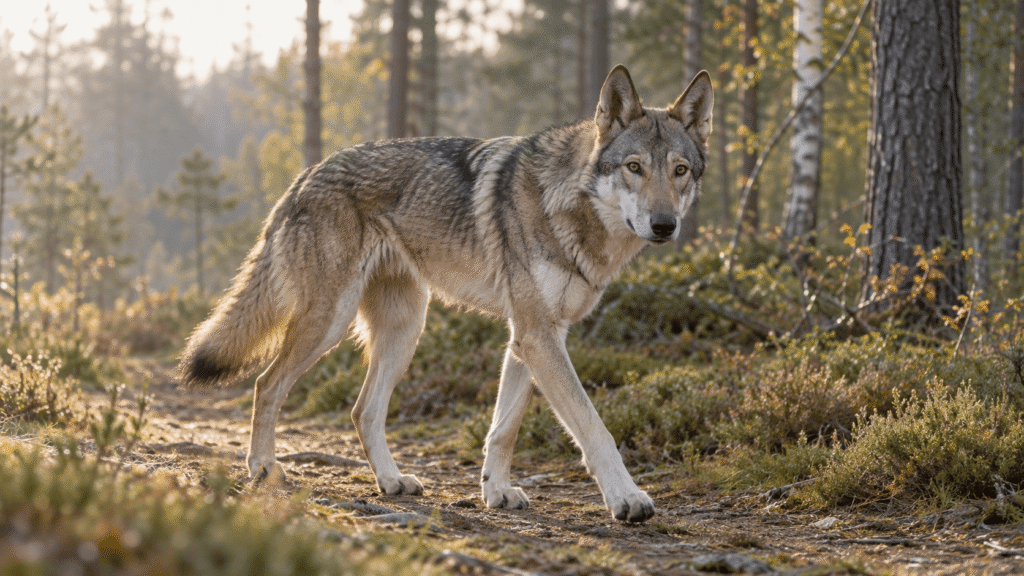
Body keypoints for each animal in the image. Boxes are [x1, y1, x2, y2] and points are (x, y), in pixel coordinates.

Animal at [176, 65, 713, 523]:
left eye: (680, 170)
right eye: (634, 167)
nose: (664, 225)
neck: (572, 205)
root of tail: (305, 174)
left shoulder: (531, 337)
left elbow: (502, 429)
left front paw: (496, 491)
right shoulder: (538, 336)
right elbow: (593, 425)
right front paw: (628, 498)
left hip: (405, 330)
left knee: (362, 410)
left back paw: (391, 482)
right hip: (328, 323)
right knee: (266, 385)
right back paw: (264, 469)